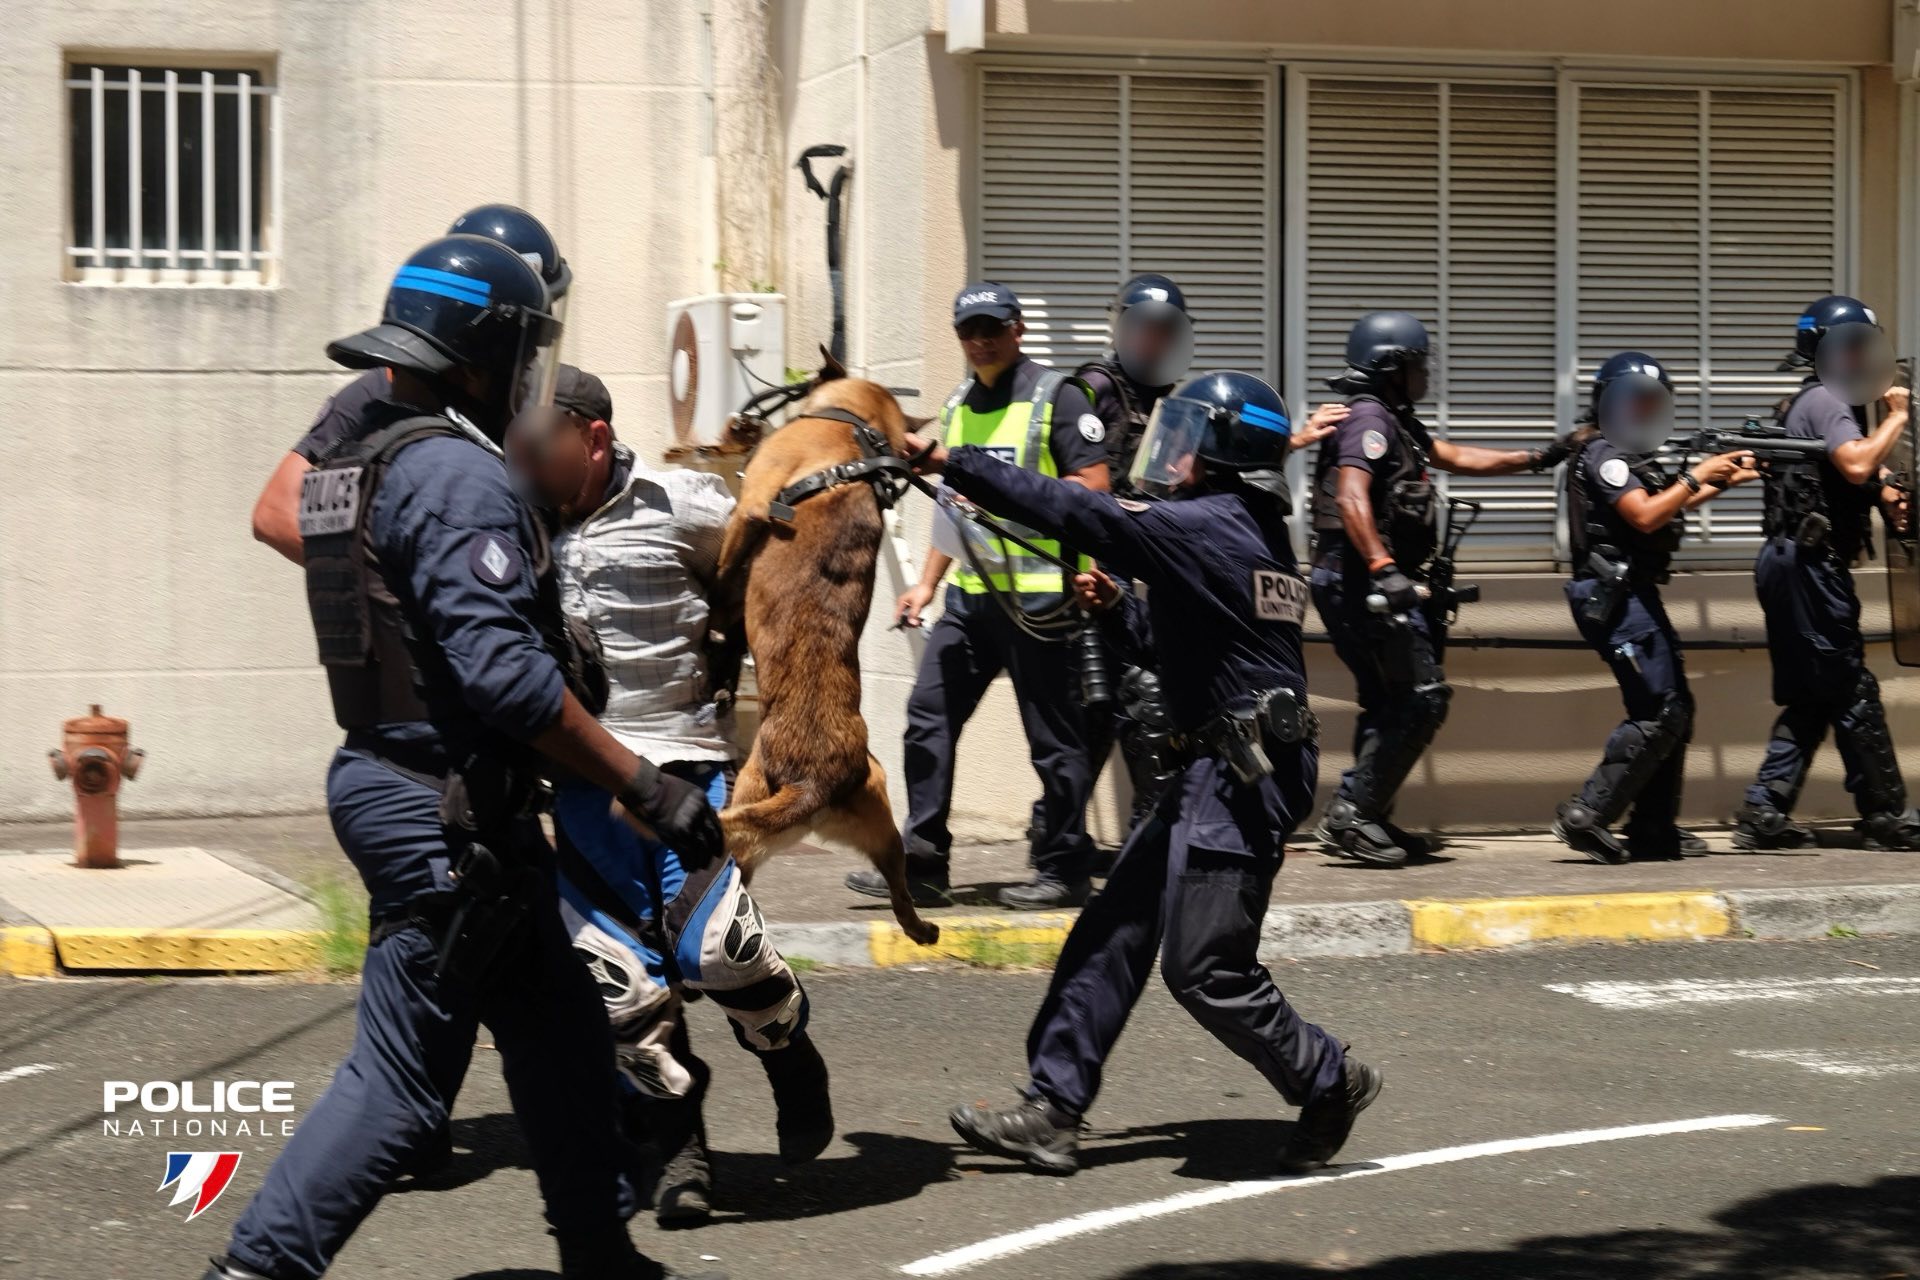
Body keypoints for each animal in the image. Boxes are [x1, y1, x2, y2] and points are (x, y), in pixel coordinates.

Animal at [714, 355, 940, 946]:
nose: (746, 419)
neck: (858, 434)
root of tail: (814, 786)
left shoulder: (749, 509)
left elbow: (723, 575)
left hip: (750, 792)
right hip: (879, 825)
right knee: (900, 892)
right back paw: (923, 930)